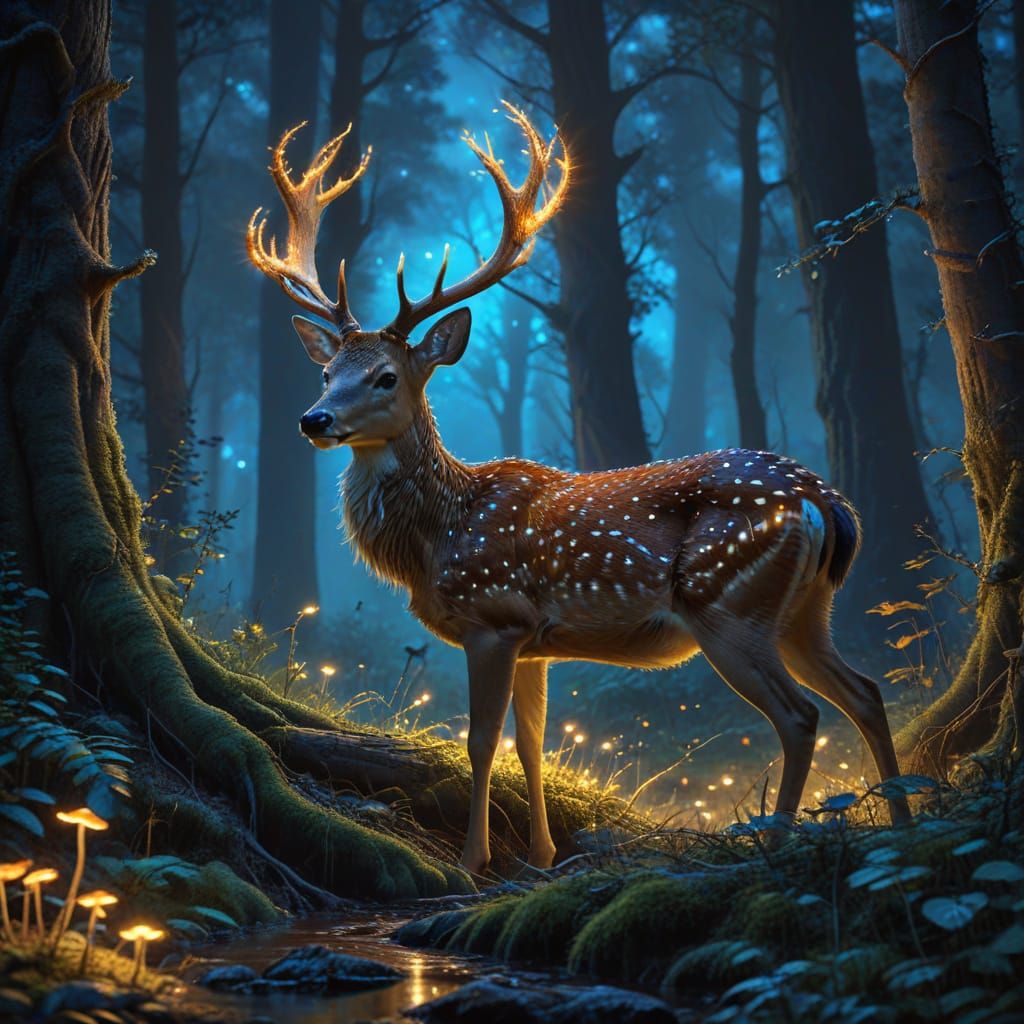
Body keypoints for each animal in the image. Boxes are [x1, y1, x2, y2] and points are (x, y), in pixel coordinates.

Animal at [247, 103, 910, 876]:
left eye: (384, 377)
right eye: (328, 373)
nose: (313, 419)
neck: (440, 535)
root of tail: (824, 501)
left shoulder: (493, 616)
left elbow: (480, 741)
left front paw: (474, 860)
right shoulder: (536, 641)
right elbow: (532, 743)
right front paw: (540, 853)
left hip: (729, 603)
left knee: (801, 716)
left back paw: (773, 843)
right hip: (805, 608)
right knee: (867, 693)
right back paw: (903, 818)